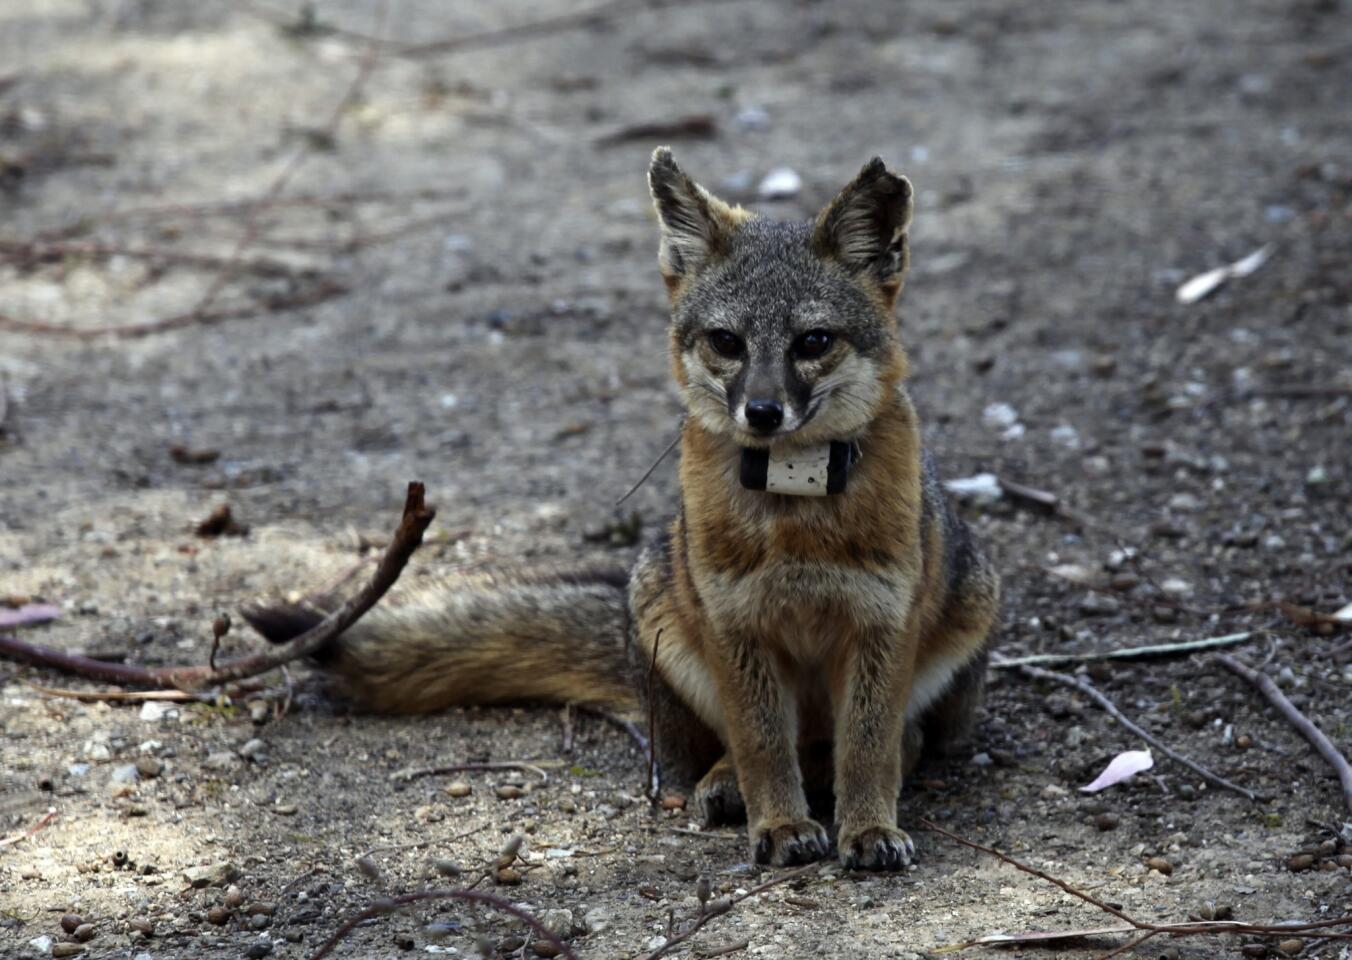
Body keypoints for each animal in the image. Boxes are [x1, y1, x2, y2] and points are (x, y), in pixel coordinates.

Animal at [246, 148, 1005, 870]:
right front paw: (781, 824)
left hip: (968, 608)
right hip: (664, 611)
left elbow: (868, 747)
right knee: (734, 750)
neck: (796, 513)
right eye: (727, 342)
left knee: (893, 740)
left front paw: (870, 827)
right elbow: (762, 744)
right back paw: (728, 785)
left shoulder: (882, 622)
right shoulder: (736, 628)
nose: (762, 412)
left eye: (813, 342)